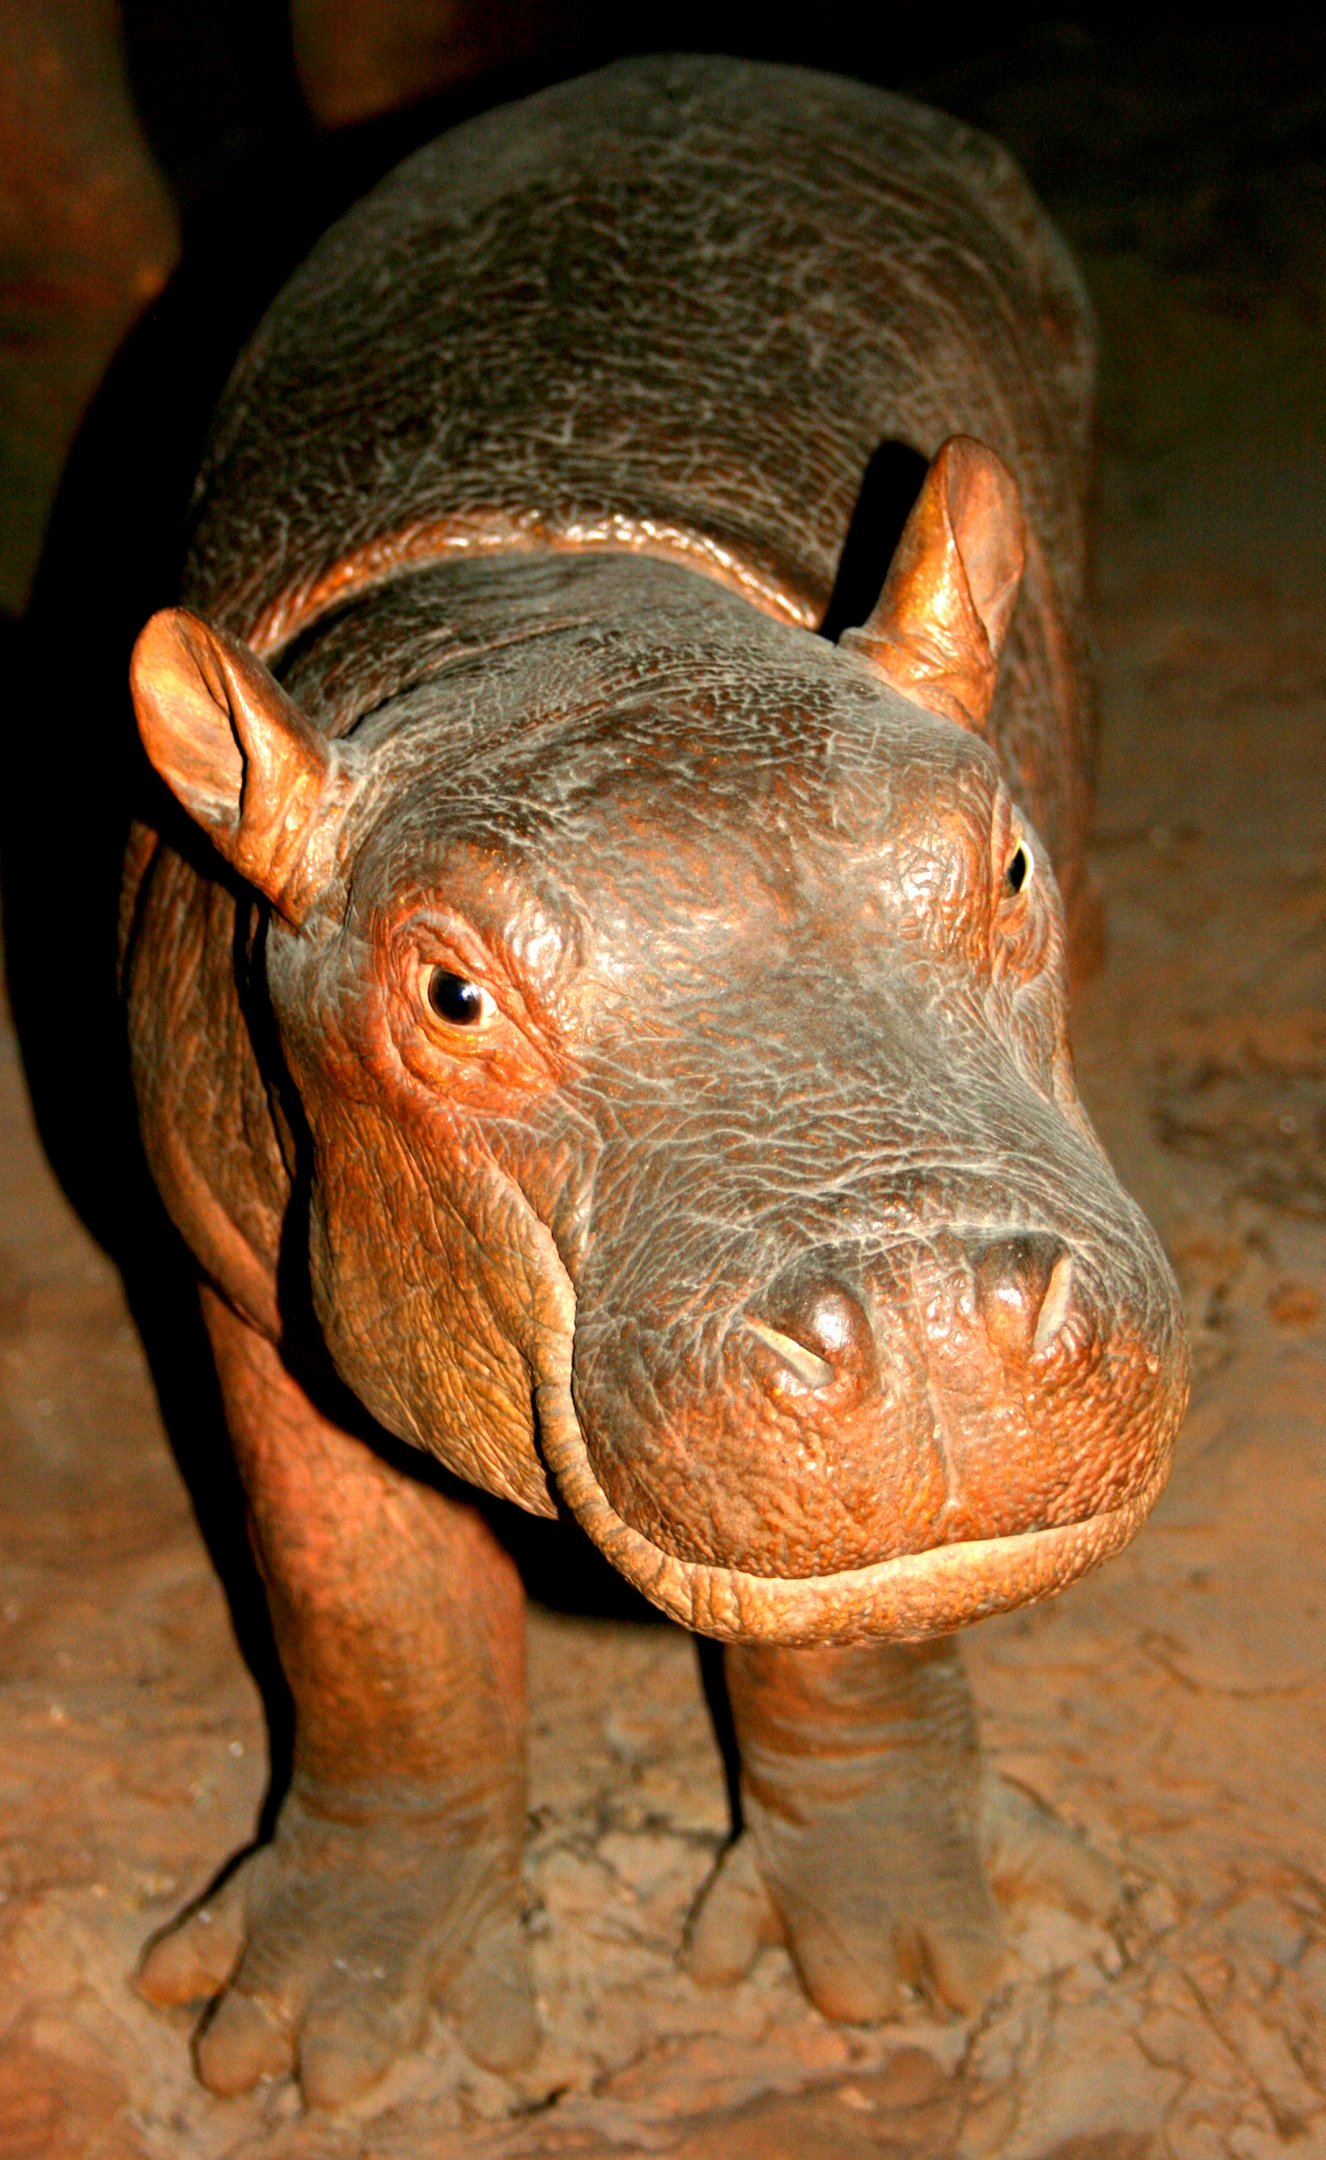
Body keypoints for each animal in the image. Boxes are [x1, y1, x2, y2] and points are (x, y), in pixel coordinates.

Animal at [120, 54, 1189, 2108]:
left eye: (1001, 859)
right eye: (449, 992)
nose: (928, 1315)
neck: (553, 631)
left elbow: (857, 1633)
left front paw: (915, 1972)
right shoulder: (233, 1238)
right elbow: (365, 1607)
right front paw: (322, 2036)